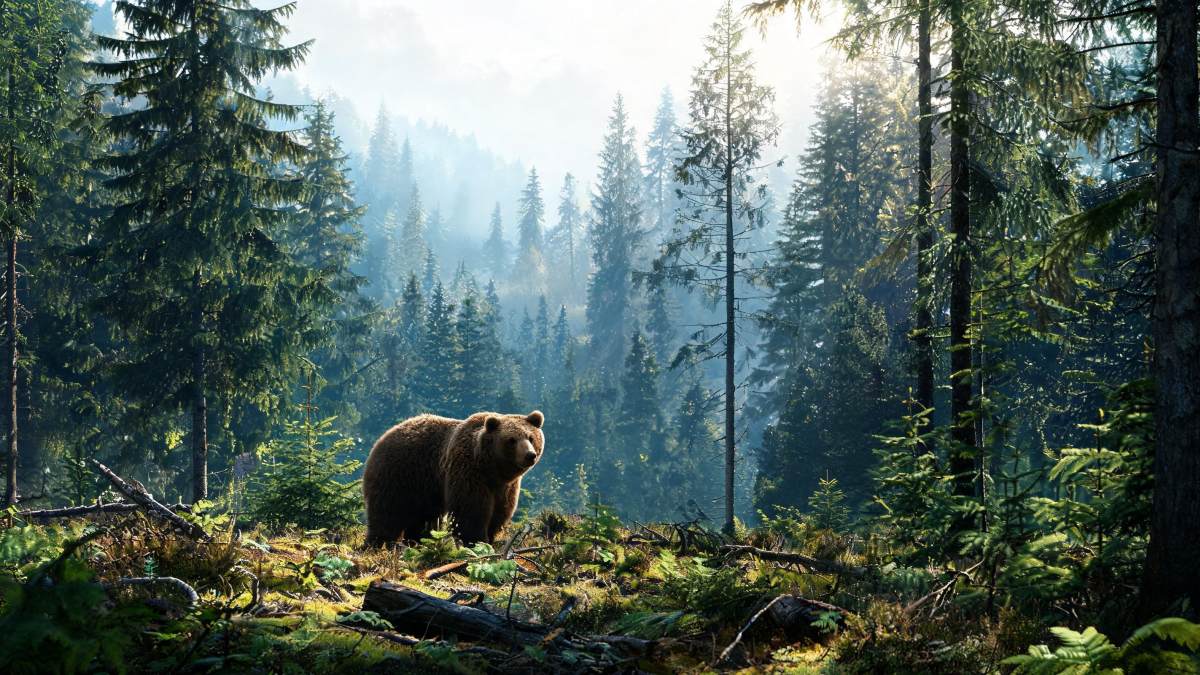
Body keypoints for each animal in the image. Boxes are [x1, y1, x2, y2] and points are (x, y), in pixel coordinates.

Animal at [361, 410, 545, 547]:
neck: (490, 467)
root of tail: (382, 438)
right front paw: (475, 541)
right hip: (398, 474)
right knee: (386, 514)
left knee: (423, 519)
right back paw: (375, 543)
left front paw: (490, 538)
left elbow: (500, 513)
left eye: (531, 437)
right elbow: (470, 510)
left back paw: (418, 541)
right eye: (511, 440)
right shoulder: (467, 470)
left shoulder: (506, 487)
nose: (530, 455)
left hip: (424, 490)